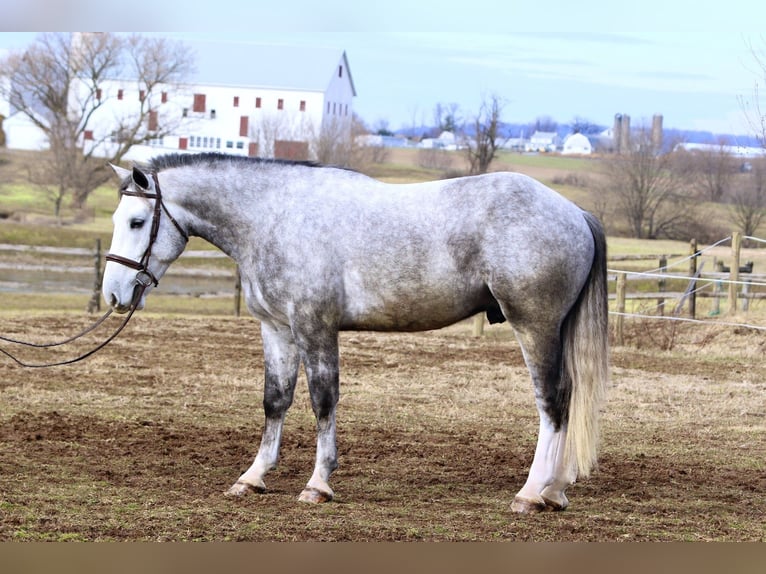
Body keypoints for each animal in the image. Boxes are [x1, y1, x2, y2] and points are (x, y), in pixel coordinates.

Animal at [103, 152, 608, 514]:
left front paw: (318, 484)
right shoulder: (277, 330)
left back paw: (532, 493)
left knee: (553, 401)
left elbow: (323, 401)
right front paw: (253, 477)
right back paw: (556, 491)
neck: (276, 216)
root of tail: (574, 213)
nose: (114, 294)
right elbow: (275, 401)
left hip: (535, 327)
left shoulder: (315, 328)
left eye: (136, 222)